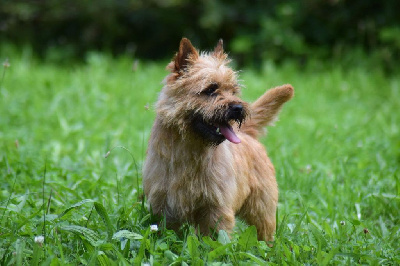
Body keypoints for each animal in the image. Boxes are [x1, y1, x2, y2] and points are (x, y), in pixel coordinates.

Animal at [142, 37, 292, 241]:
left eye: (234, 91)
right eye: (210, 89)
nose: (238, 108)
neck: (190, 149)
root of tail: (247, 134)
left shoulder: (216, 207)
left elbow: (215, 239)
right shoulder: (164, 204)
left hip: (262, 208)